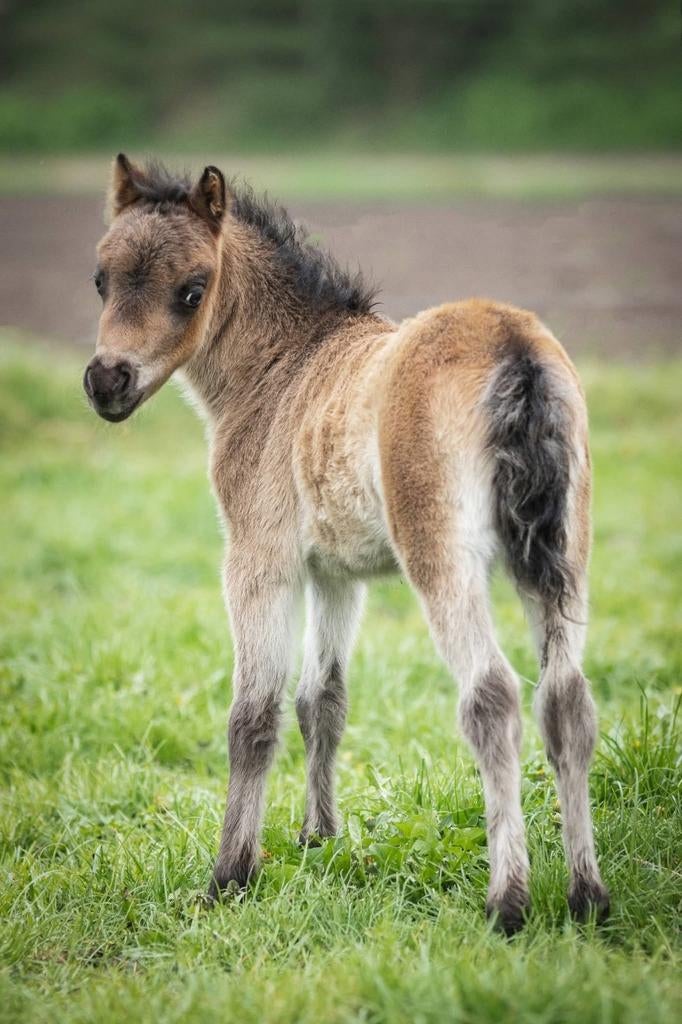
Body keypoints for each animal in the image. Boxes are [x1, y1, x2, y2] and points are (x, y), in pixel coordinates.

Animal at [83, 154, 609, 933]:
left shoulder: (258, 561)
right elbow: (321, 701)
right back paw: (588, 897)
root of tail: (513, 347)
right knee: (566, 702)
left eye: (191, 289)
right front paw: (318, 839)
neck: (283, 371)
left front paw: (229, 877)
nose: (106, 381)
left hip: (443, 559)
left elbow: (253, 716)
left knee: (491, 698)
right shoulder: (338, 575)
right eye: (101, 279)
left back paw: (507, 902)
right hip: (564, 557)